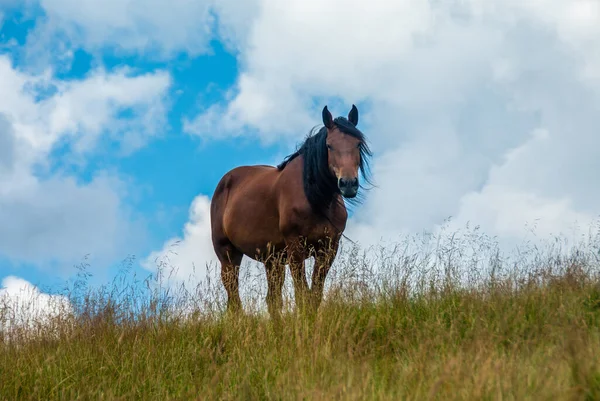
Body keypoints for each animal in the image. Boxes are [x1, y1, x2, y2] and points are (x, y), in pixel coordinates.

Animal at [210, 104, 370, 318]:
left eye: (358, 144)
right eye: (329, 146)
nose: (348, 184)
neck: (315, 200)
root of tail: (225, 181)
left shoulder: (328, 249)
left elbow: (315, 294)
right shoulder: (295, 249)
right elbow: (302, 294)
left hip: (273, 260)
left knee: (272, 300)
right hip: (228, 254)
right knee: (234, 297)